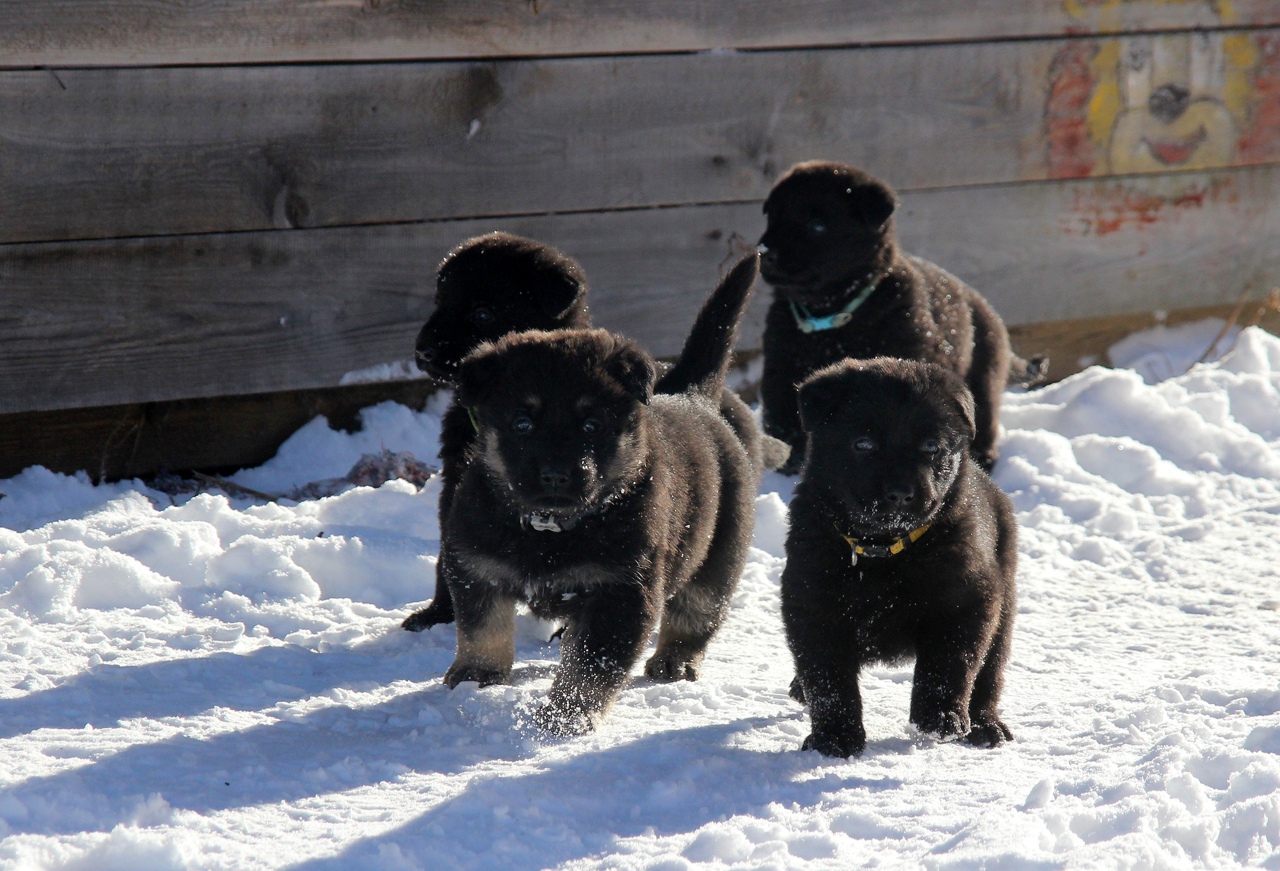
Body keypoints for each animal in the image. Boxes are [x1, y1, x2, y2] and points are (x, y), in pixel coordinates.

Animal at [440, 253, 757, 732]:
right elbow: (482, 625)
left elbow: (591, 664)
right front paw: (478, 674)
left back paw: (676, 660)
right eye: (522, 424)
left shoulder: (622, 592)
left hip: (719, 554)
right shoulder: (476, 564)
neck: (550, 530)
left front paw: (566, 715)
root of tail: (694, 398)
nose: (556, 475)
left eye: (591, 425)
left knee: (697, 612)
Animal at [752, 160, 1044, 473]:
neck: (834, 313)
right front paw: (789, 466)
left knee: (985, 420)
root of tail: (982, 303)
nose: (764, 253)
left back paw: (984, 460)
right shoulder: (781, 365)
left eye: (816, 225)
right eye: (773, 216)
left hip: (985, 372)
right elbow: (784, 420)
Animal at [778, 353, 1018, 753]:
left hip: (1005, 601)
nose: (901, 494)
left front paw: (939, 719)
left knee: (989, 672)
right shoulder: (812, 604)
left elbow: (949, 664)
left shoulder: (968, 597)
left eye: (931, 447)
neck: (884, 551)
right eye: (863, 444)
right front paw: (835, 738)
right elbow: (828, 679)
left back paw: (986, 725)